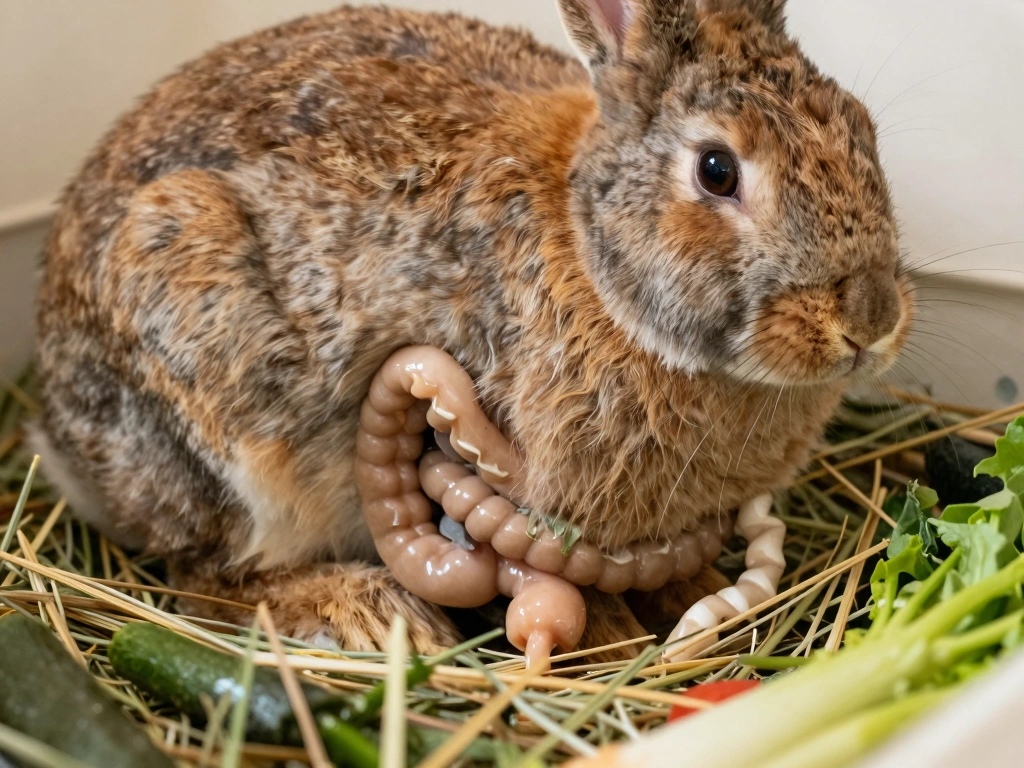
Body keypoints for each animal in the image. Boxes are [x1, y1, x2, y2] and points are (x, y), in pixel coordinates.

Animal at [30, 0, 912, 655]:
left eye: (864, 129)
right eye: (717, 171)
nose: (870, 319)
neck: (593, 256)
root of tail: (58, 432)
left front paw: (693, 591)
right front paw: (615, 640)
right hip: (222, 425)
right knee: (202, 581)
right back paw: (368, 608)